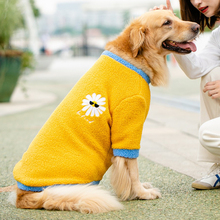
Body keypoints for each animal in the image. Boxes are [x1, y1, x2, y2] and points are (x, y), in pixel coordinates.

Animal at [3, 9, 199, 214]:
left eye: (175, 16)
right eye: (167, 23)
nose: (198, 26)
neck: (136, 58)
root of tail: (21, 195)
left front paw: (138, 190)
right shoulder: (128, 124)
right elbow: (132, 168)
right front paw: (141, 193)